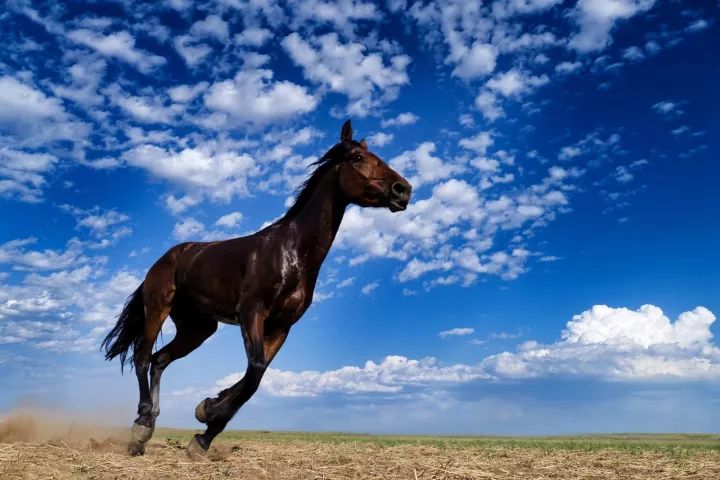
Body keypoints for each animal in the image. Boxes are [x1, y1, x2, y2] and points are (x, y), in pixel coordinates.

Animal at [103, 120, 414, 458]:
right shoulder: (252, 312)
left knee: (159, 360)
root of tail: (165, 258)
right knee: (142, 357)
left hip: (198, 328)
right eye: (358, 158)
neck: (292, 251)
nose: (403, 190)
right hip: (158, 308)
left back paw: (149, 424)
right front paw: (204, 428)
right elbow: (254, 372)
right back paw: (141, 427)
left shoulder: (281, 326)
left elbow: (256, 376)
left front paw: (207, 413)